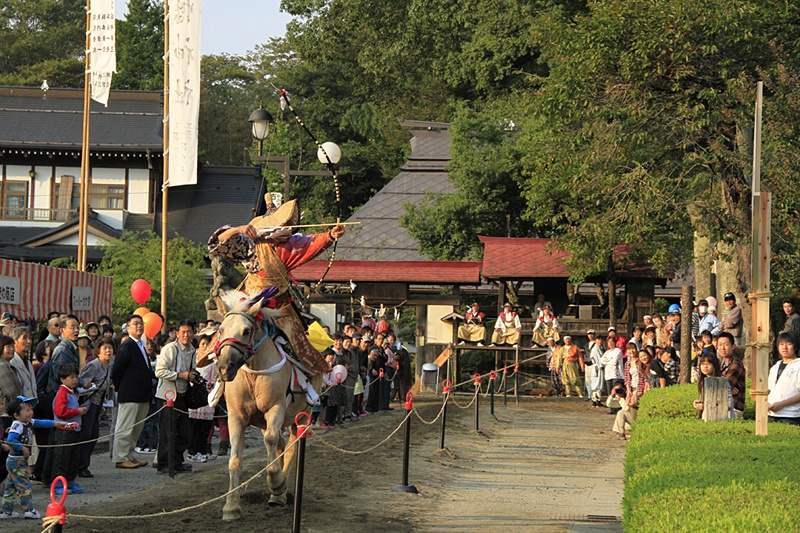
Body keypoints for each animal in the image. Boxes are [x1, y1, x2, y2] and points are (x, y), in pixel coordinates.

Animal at [216, 290, 324, 520]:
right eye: (221, 329)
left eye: (246, 330)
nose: (224, 367)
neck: (253, 374)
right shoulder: (236, 416)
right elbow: (234, 460)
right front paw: (231, 506)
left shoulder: (275, 409)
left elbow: (272, 442)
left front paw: (277, 483)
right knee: (280, 445)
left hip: (302, 414)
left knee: (290, 446)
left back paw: (279, 493)